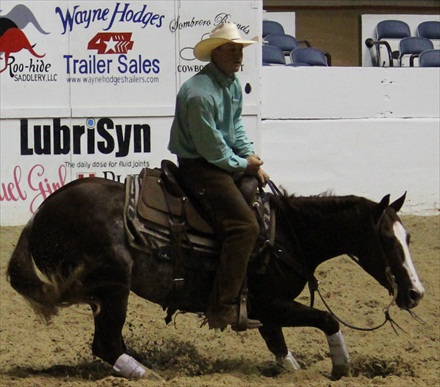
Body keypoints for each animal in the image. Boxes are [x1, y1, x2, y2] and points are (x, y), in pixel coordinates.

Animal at [6, 172, 424, 382]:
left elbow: (281, 349)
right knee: (106, 343)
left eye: (408, 237)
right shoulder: (269, 304)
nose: (416, 293)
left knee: (109, 342)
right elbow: (326, 319)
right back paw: (149, 373)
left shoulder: (267, 312)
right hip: (113, 287)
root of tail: (41, 213)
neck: (286, 235)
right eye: (388, 240)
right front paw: (340, 367)